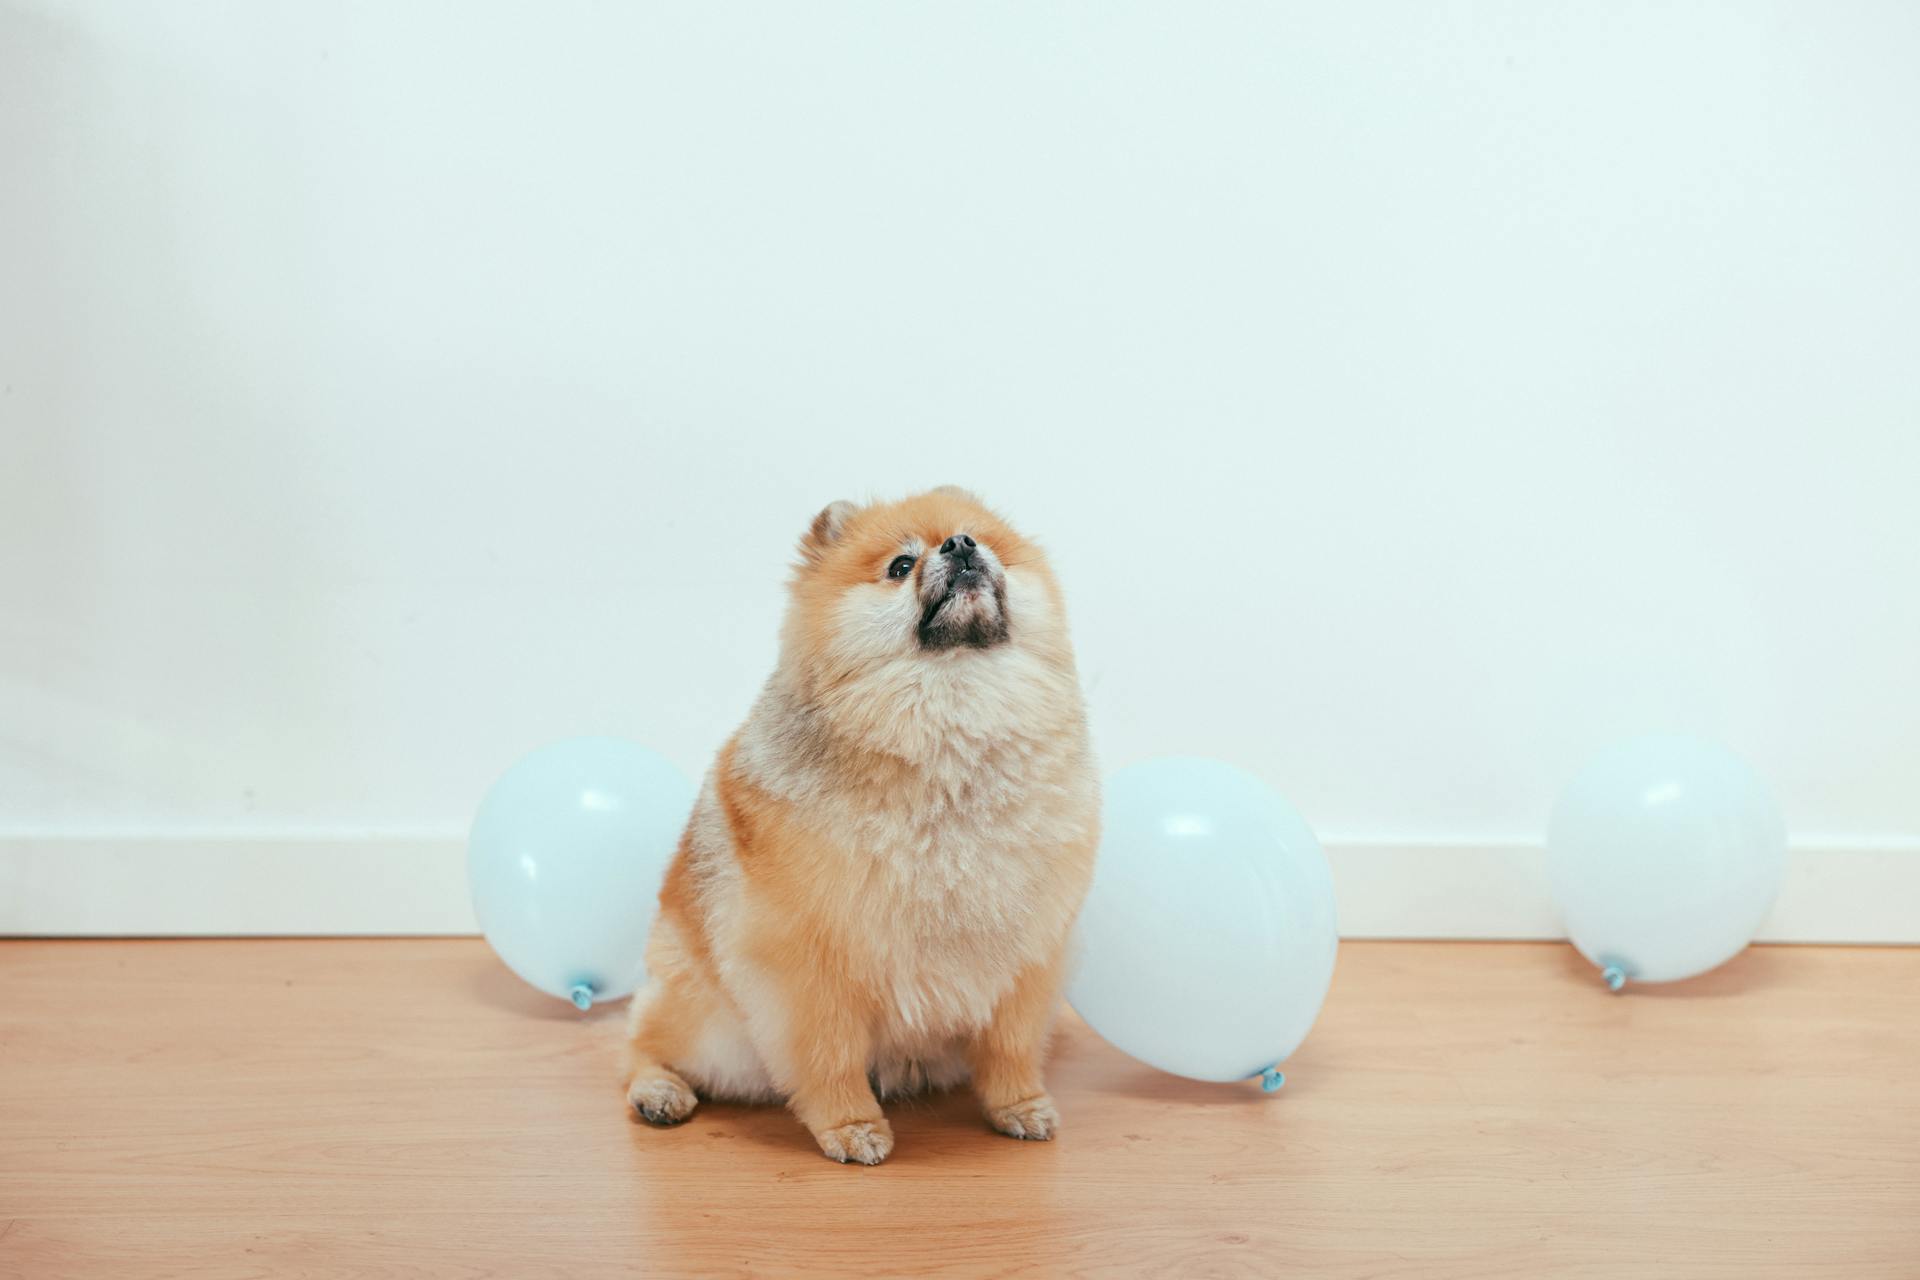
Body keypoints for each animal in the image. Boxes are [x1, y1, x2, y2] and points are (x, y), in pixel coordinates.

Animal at [618, 485, 1098, 1166]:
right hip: (703, 1017)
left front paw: (1019, 1105)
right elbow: (830, 1057)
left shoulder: (1026, 958)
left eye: (980, 539)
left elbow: (1011, 1047)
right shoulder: (808, 966)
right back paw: (659, 1091)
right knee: (641, 1043)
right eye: (901, 565)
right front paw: (851, 1126)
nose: (961, 545)